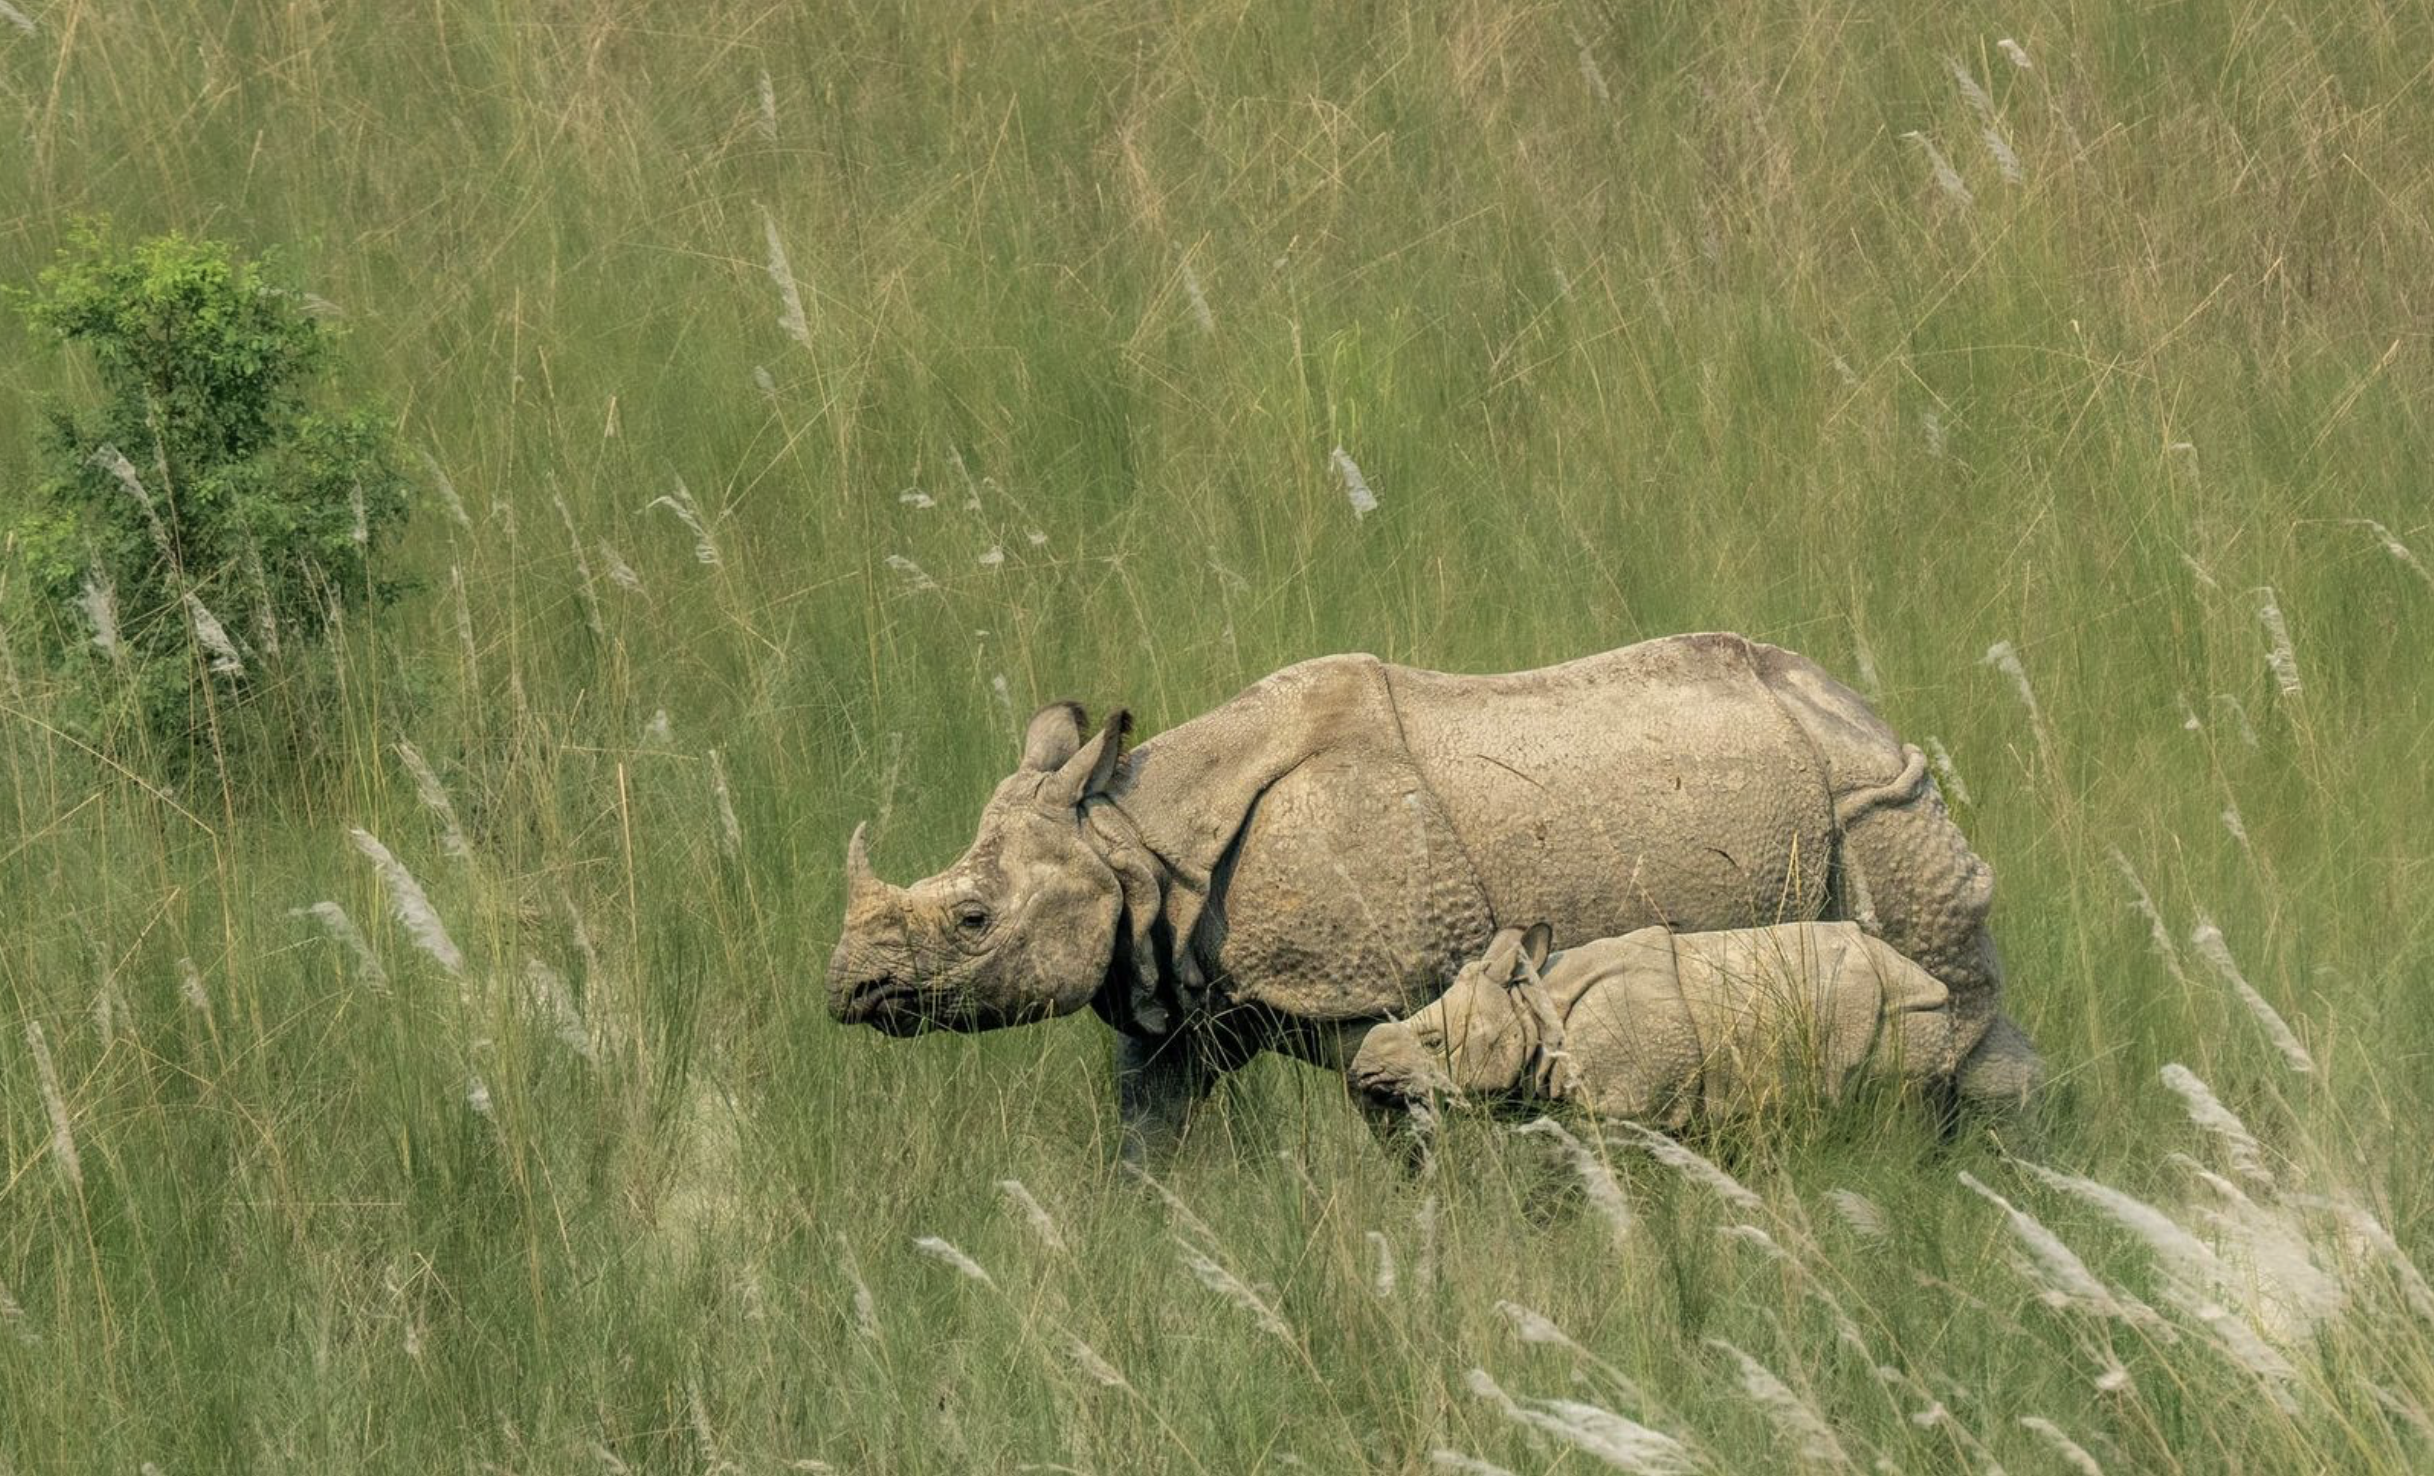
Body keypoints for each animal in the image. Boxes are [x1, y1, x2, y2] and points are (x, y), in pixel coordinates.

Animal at [827, 633, 2043, 1165]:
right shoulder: (1173, 992)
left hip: (1872, 805)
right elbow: (1152, 1134)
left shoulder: (1376, 986)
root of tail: (1867, 710)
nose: (846, 991)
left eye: (974, 922)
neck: (1131, 837)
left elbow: (1399, 1102)